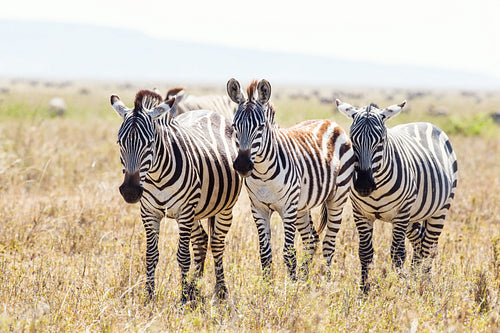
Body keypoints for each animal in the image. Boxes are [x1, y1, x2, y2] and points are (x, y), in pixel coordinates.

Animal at [110, 88, 242, 300]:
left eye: (150, 143)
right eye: (120, 142)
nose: (130, 191)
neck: (156, 176)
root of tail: (207, 111)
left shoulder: (185, 211)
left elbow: (183, 256)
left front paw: (183, 299)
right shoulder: (149, 213)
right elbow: (151, 255)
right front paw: (149, 296)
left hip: (223, 208)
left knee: (217, 244)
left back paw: (221, 291)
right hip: (196, 211)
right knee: (201, 240)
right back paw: (195, 287)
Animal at [228, 78, 356, 278]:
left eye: (261, 127)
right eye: (235, 127)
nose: (242, 165)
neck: (263, 175)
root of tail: (329, 121)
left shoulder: (288, 209)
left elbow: (289, 253)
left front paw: (291, 285)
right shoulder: (258, 208)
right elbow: (265, 253)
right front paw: (269, 285)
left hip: (337, 198)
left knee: (329, 244)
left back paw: (326, 280)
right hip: (302, 205)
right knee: (311, 238)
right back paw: (305, 279)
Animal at [336, 98, 458, 290]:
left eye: (381, 140)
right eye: (352, 139)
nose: (363, 185)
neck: (377, 186)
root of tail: (425, 123)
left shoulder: (401, 213)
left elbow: (398, 254)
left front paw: (400, 289)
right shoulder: (361, 213)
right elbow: (364, 252)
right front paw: (364, 290)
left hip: (439, 210)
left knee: (429, 247)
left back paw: (424, 283)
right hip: (413, 215)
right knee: (419, 243)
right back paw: (416, 278)